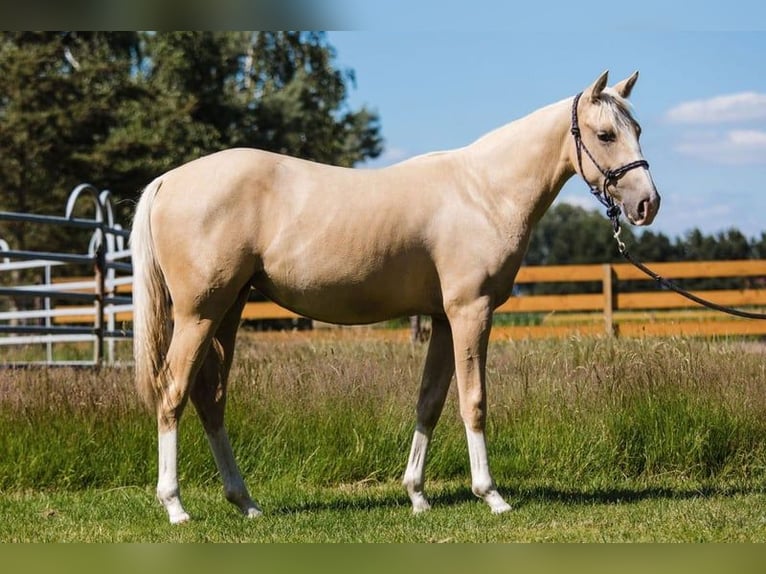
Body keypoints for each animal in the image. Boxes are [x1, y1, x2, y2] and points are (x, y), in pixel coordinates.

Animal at [130, 70, 660, 524]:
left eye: (637, 129)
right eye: (605, 134)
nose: (647, 204)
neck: (485, 191)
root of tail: (168, 179)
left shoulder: (443, 320)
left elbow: (429, 402)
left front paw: (417, 495)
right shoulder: (470, 313)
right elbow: (474, 401)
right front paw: (491, 495)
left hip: (228, 310)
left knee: (210, 399)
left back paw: (245, 502)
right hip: (199, 315)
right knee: (172, 393)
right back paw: (175, 506)